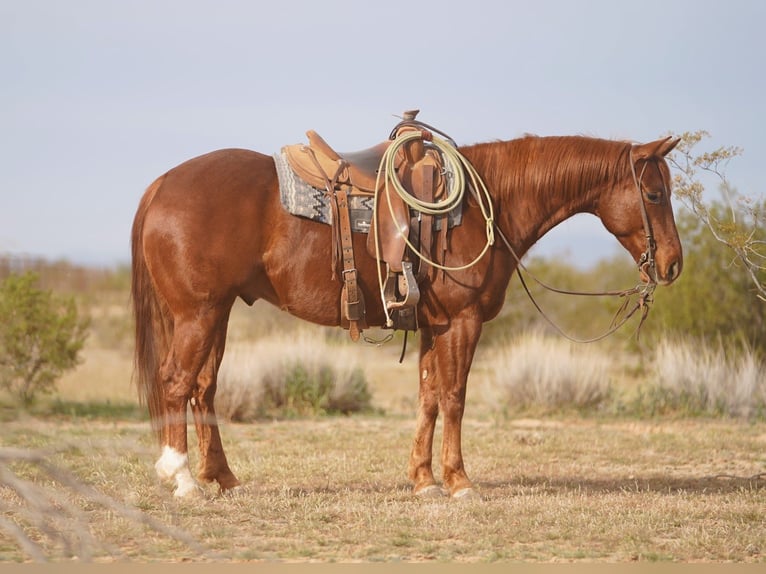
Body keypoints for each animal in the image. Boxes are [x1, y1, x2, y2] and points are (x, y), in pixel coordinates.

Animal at [131, 128, 682, 498]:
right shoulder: (462, 322)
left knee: (203, 388)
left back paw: (222, 477)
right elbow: (455, 398)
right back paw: (181, 478)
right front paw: (459, 481)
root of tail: (161, 184)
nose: (673, 264)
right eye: (655, 193)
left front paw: (423, 479)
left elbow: (429, 398)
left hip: (217, 313)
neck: (490, 201)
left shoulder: (433, 326)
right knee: (177, 382)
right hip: (198, 314)